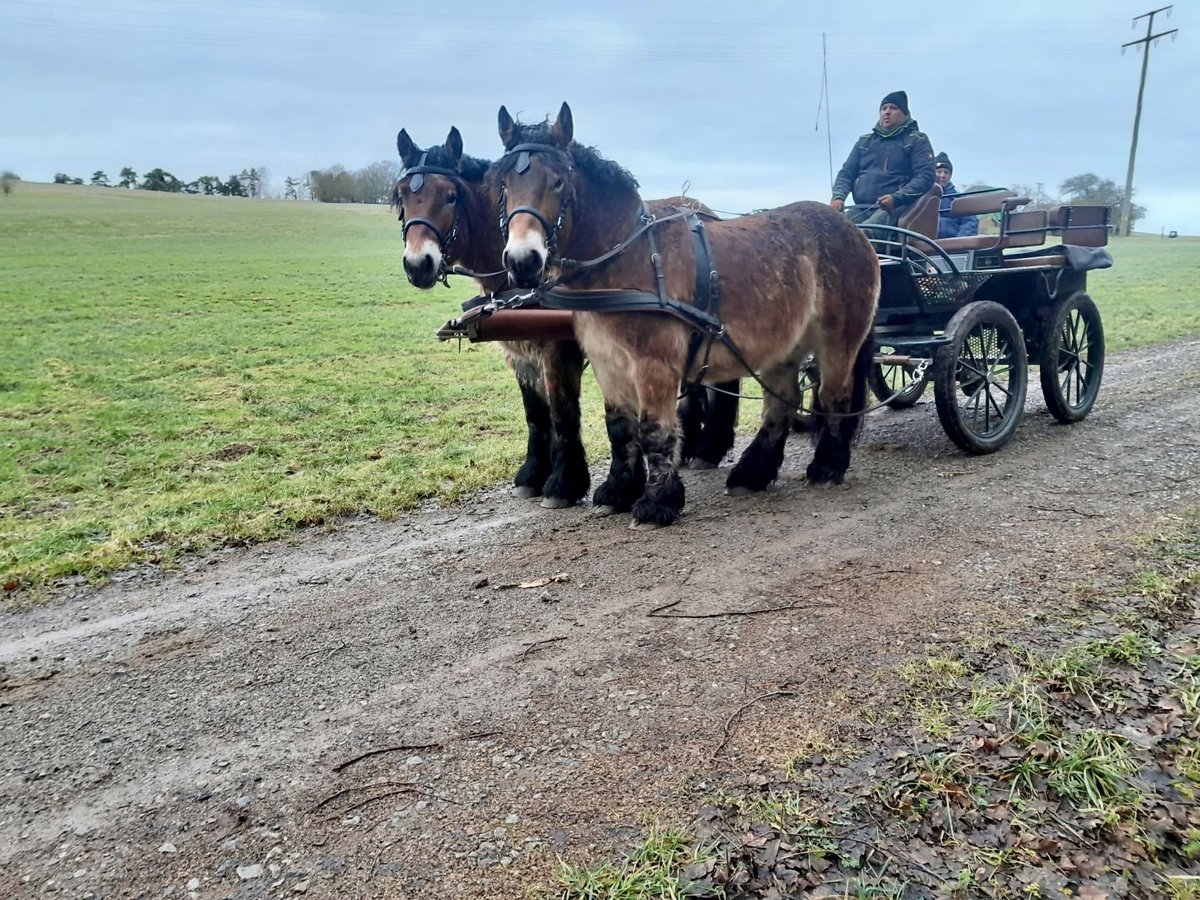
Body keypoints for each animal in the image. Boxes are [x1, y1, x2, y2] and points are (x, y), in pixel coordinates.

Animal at [393, 125, 739, 508]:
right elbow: (536, 414)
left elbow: (563, 413)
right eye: (402, 195)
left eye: (450, 195)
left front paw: (565, 482)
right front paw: (533, 474)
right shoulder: (520, 356)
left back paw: (709, 448)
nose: (417, 264)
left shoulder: (559, 351)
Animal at [487, 103, 883, 528]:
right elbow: (620, 429)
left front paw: (657, 502)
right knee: (784, 402)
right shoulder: (607, 362)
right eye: (503, 185)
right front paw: (617, 491)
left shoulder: (654, 363)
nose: (523, 261)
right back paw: (752, 474)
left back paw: (827, 467)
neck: (628, 256)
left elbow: (654, 431)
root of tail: (855, 230)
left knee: (835, 396)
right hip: (783, 347)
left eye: (558, 182)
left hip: (838, 343)